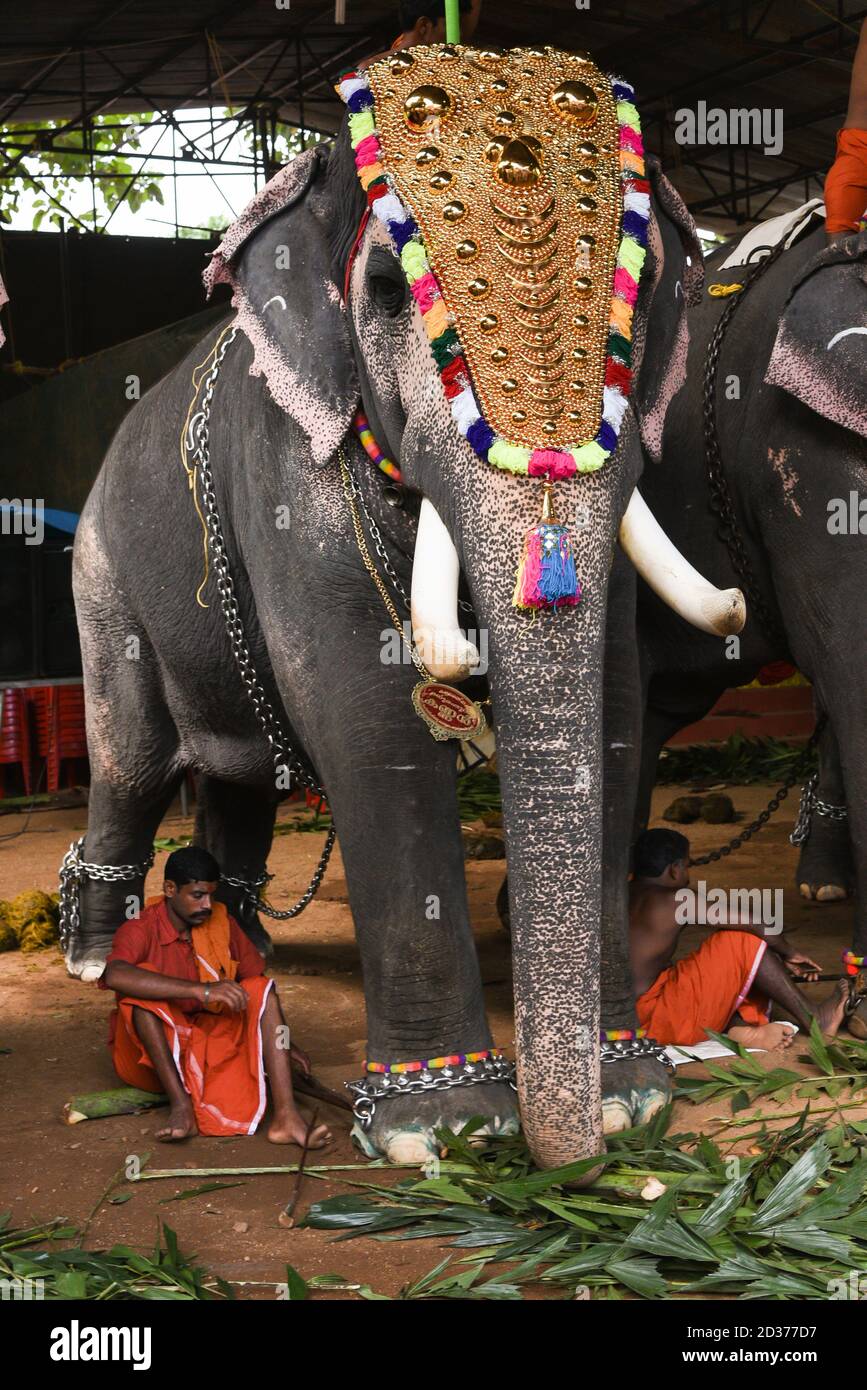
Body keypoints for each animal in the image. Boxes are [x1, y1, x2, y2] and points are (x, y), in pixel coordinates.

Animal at [66, 48, 743, 1169]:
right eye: (387, 291)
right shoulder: (287, 467)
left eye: (640, 300)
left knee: (237, 782)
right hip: (100, 577)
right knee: (129, 760)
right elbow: (365, 714)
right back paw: (89, 957)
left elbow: (615, 698)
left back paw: (246, 943)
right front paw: (445, 1128)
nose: (573, 1159)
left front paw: (626, 1098)